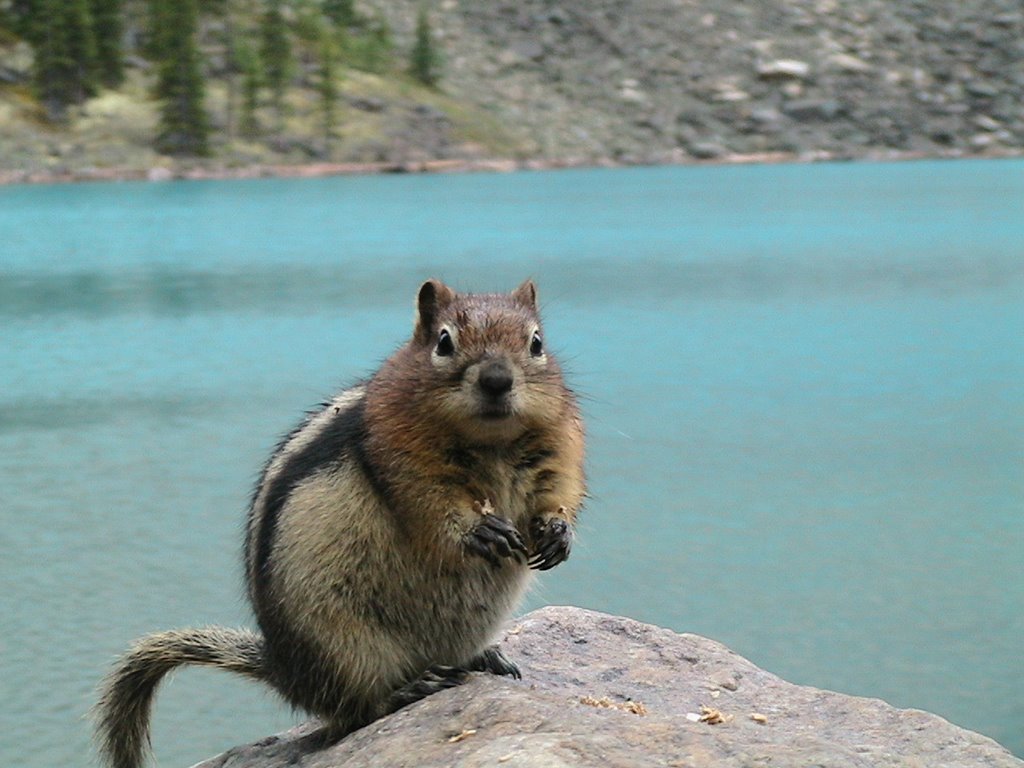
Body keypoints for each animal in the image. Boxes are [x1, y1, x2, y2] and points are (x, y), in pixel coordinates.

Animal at [98, 280, 589, 768]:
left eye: (536, 342)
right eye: (444, 342)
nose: (496, 379)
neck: (493, 442)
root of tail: (287, 672)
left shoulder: (560, 445)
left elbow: (559, 491)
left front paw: (558, 534)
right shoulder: (401, 457)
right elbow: (432, 506)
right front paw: (480, 530)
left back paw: (485, 658)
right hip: (347, 648)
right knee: (357, 709)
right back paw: (410, 688)